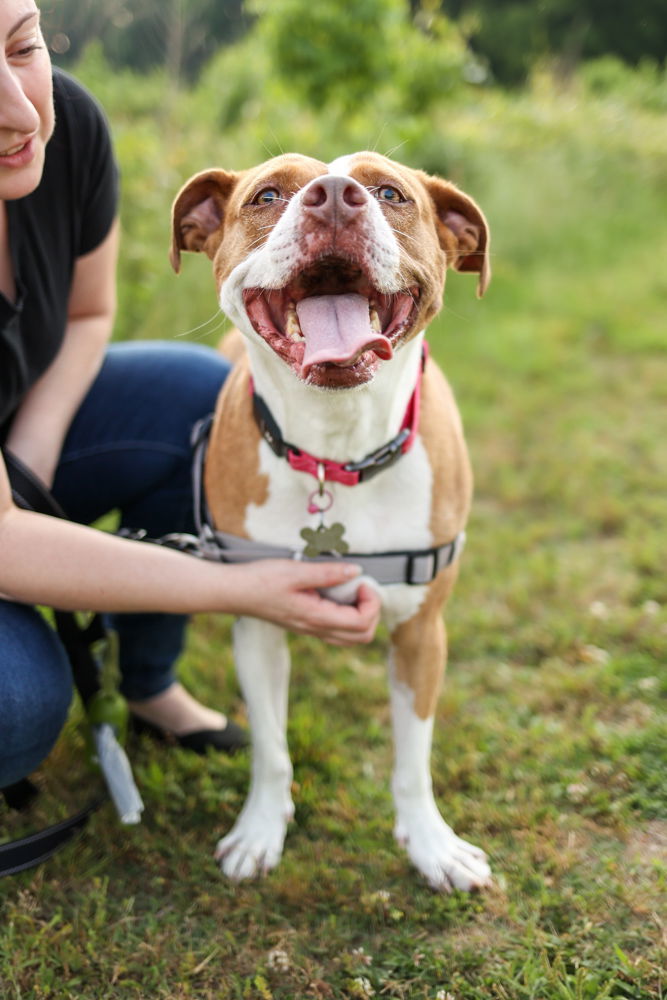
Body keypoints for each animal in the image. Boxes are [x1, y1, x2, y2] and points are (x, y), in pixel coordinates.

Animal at [170, 150, 494, 892]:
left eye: (390, 192)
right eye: (267, 195)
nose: (336, 197)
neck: (337, 450)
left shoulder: (421, 633)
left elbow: (412, 758)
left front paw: (431, 845)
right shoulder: (258, 622)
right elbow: (271, 747)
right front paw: (260, 830)